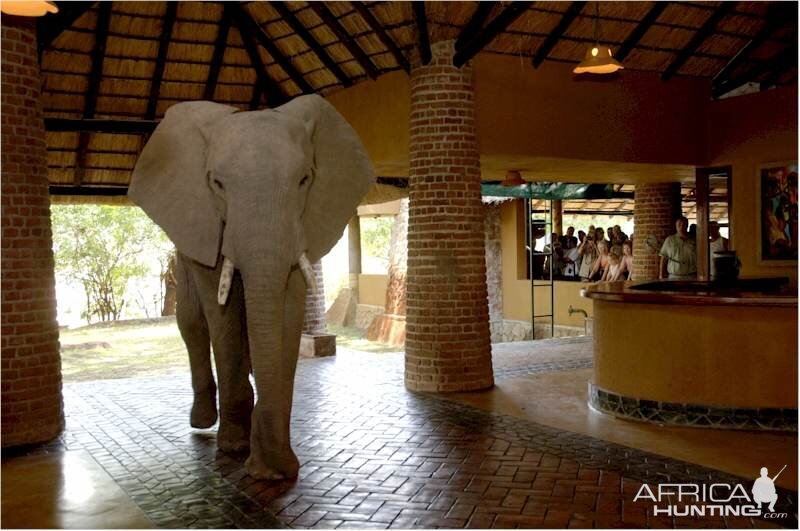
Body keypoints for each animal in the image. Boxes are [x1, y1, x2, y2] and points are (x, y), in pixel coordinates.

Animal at [130, 93, 376, 480]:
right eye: (216, 183)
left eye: (305, 179)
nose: (272, 469)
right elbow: (221, 310)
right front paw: (235, 447)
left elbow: (288, 303)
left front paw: (273, 464)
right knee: (191, 320)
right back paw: (203, 422)